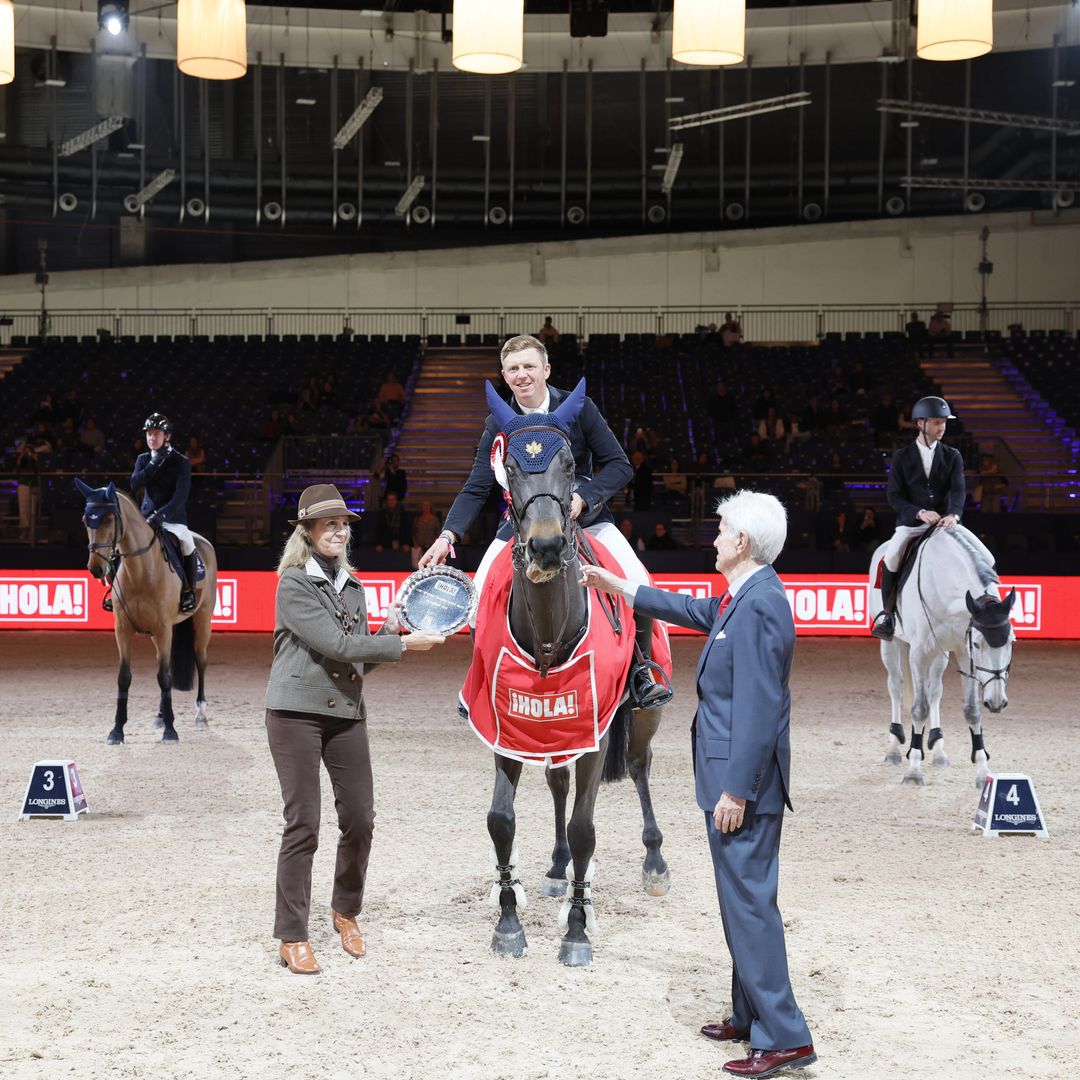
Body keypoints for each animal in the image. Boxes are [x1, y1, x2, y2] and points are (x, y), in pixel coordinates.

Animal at [76, 479, 217, 743]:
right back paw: (161, 716)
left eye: (109, 519)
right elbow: (125, 677)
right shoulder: (123, 629)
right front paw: (117, 731)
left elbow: (164, 677)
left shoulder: (163, 628)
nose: (96, 569)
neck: (140, 570)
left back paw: (200, 715)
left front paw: (171, 731)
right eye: (85, 519)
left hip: (203, 619)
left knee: (201, 661)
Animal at [457, 382, 673, 972]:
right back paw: (556, 870)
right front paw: (508, 921)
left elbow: (584, 828)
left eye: (573, 463)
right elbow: (501, 820)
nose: (548, 547)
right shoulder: (507, 730)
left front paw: (577, 930)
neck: (550, 634)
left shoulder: (595, 734)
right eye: (508, 464)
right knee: (557, 784)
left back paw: (654, 862)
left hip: (640, 719)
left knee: (639, 768)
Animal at [872, 529, 1015, 790]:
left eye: (1012, 642)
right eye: (978, 643)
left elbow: (971, 711)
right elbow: (919, 709)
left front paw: (983, 773)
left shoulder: (964, 654)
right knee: (896, 687)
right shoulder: (919, 654)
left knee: (935, 691)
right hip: (891, 644)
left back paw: (938, 751)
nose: (997, 702)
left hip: (940, 654)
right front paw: (913, 771)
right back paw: (894, 749)